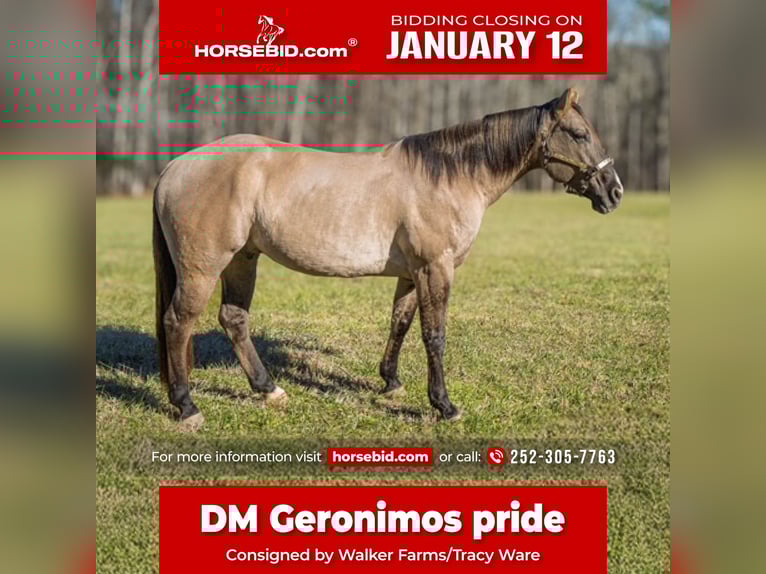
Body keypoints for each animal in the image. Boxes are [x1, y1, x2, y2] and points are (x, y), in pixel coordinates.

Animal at [153, 88, 623, 430]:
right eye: (579, 134)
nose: (614, 191)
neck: (449, 177)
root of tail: (175, 167)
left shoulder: (413, 272)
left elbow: (400, 322)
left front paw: (391, 382)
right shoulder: (436, 268)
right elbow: (434, 335)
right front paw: (444, 405)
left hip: (243, 259)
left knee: (234, 319)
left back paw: (268, 389)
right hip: (204, 266)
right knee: (178, 322)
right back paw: (187, 406)